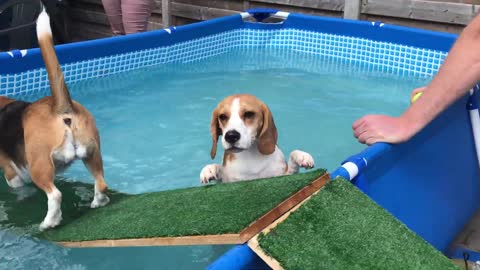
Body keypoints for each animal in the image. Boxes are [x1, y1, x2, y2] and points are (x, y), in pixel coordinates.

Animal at [0, 9, 109, 231]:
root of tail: (59, 108)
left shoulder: (10, 170)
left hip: (39, 165)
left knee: (55, 195)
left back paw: (49, 222)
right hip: (92, 153)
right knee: (101, 183)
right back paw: (98, 202)